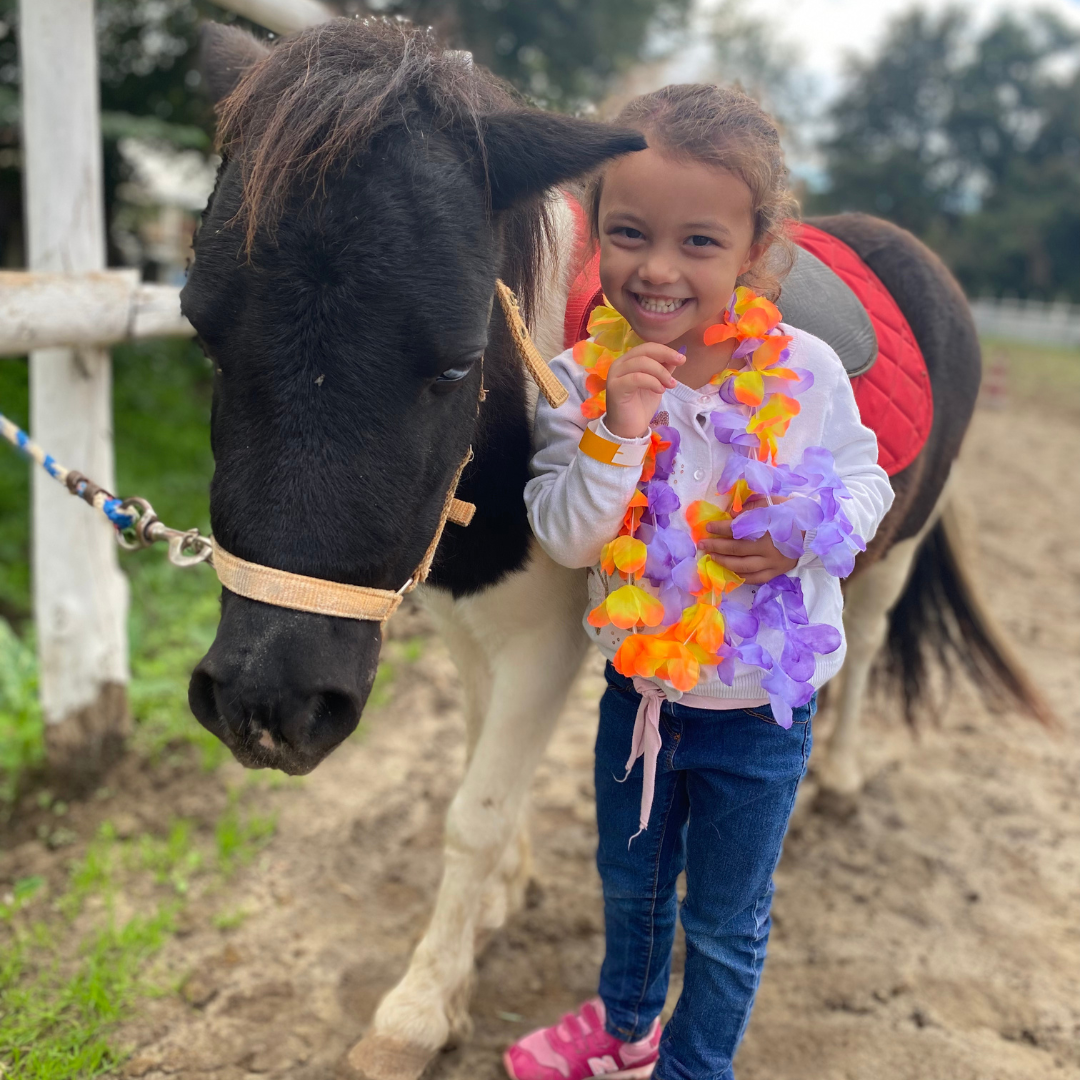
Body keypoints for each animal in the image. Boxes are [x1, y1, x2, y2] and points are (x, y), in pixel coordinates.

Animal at [181, 19, 1049, 1080]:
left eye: (456, 365)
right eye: (203, 335)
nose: (266, 709)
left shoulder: (544, 643)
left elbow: (470, 815)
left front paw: (419, 1009)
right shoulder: (471, 619)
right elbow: (480, 763)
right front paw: (497, 907)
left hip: (896, 549)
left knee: (866, 645)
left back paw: (835, 783)